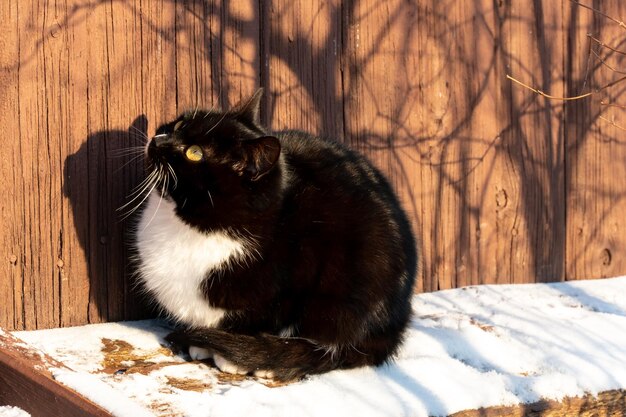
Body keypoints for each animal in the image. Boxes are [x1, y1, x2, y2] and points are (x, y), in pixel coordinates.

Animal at [132, 90, 414, 380]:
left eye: (195, 153)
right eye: (178, 125)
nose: (157, 139)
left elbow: (262, 321)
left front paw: (233, 357)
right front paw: (204, 347)